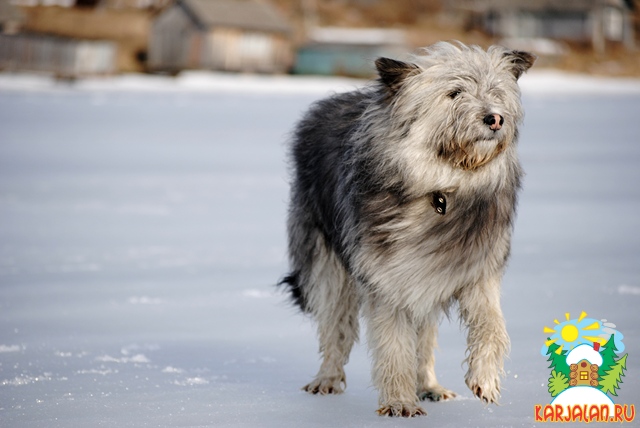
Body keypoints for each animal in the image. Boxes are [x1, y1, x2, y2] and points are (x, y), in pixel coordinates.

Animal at [280, 41, 536, 416]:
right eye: (454, 93)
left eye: (496, 92)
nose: (494, 118)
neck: (442, 187)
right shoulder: (387, 278)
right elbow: (394, 345)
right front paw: (399, 402)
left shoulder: (476, 269)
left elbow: (491, 325)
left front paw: (485, 378)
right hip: (329, 266)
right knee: (335, 327)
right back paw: (326, 379)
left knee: (425, 338)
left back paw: (429, 385)